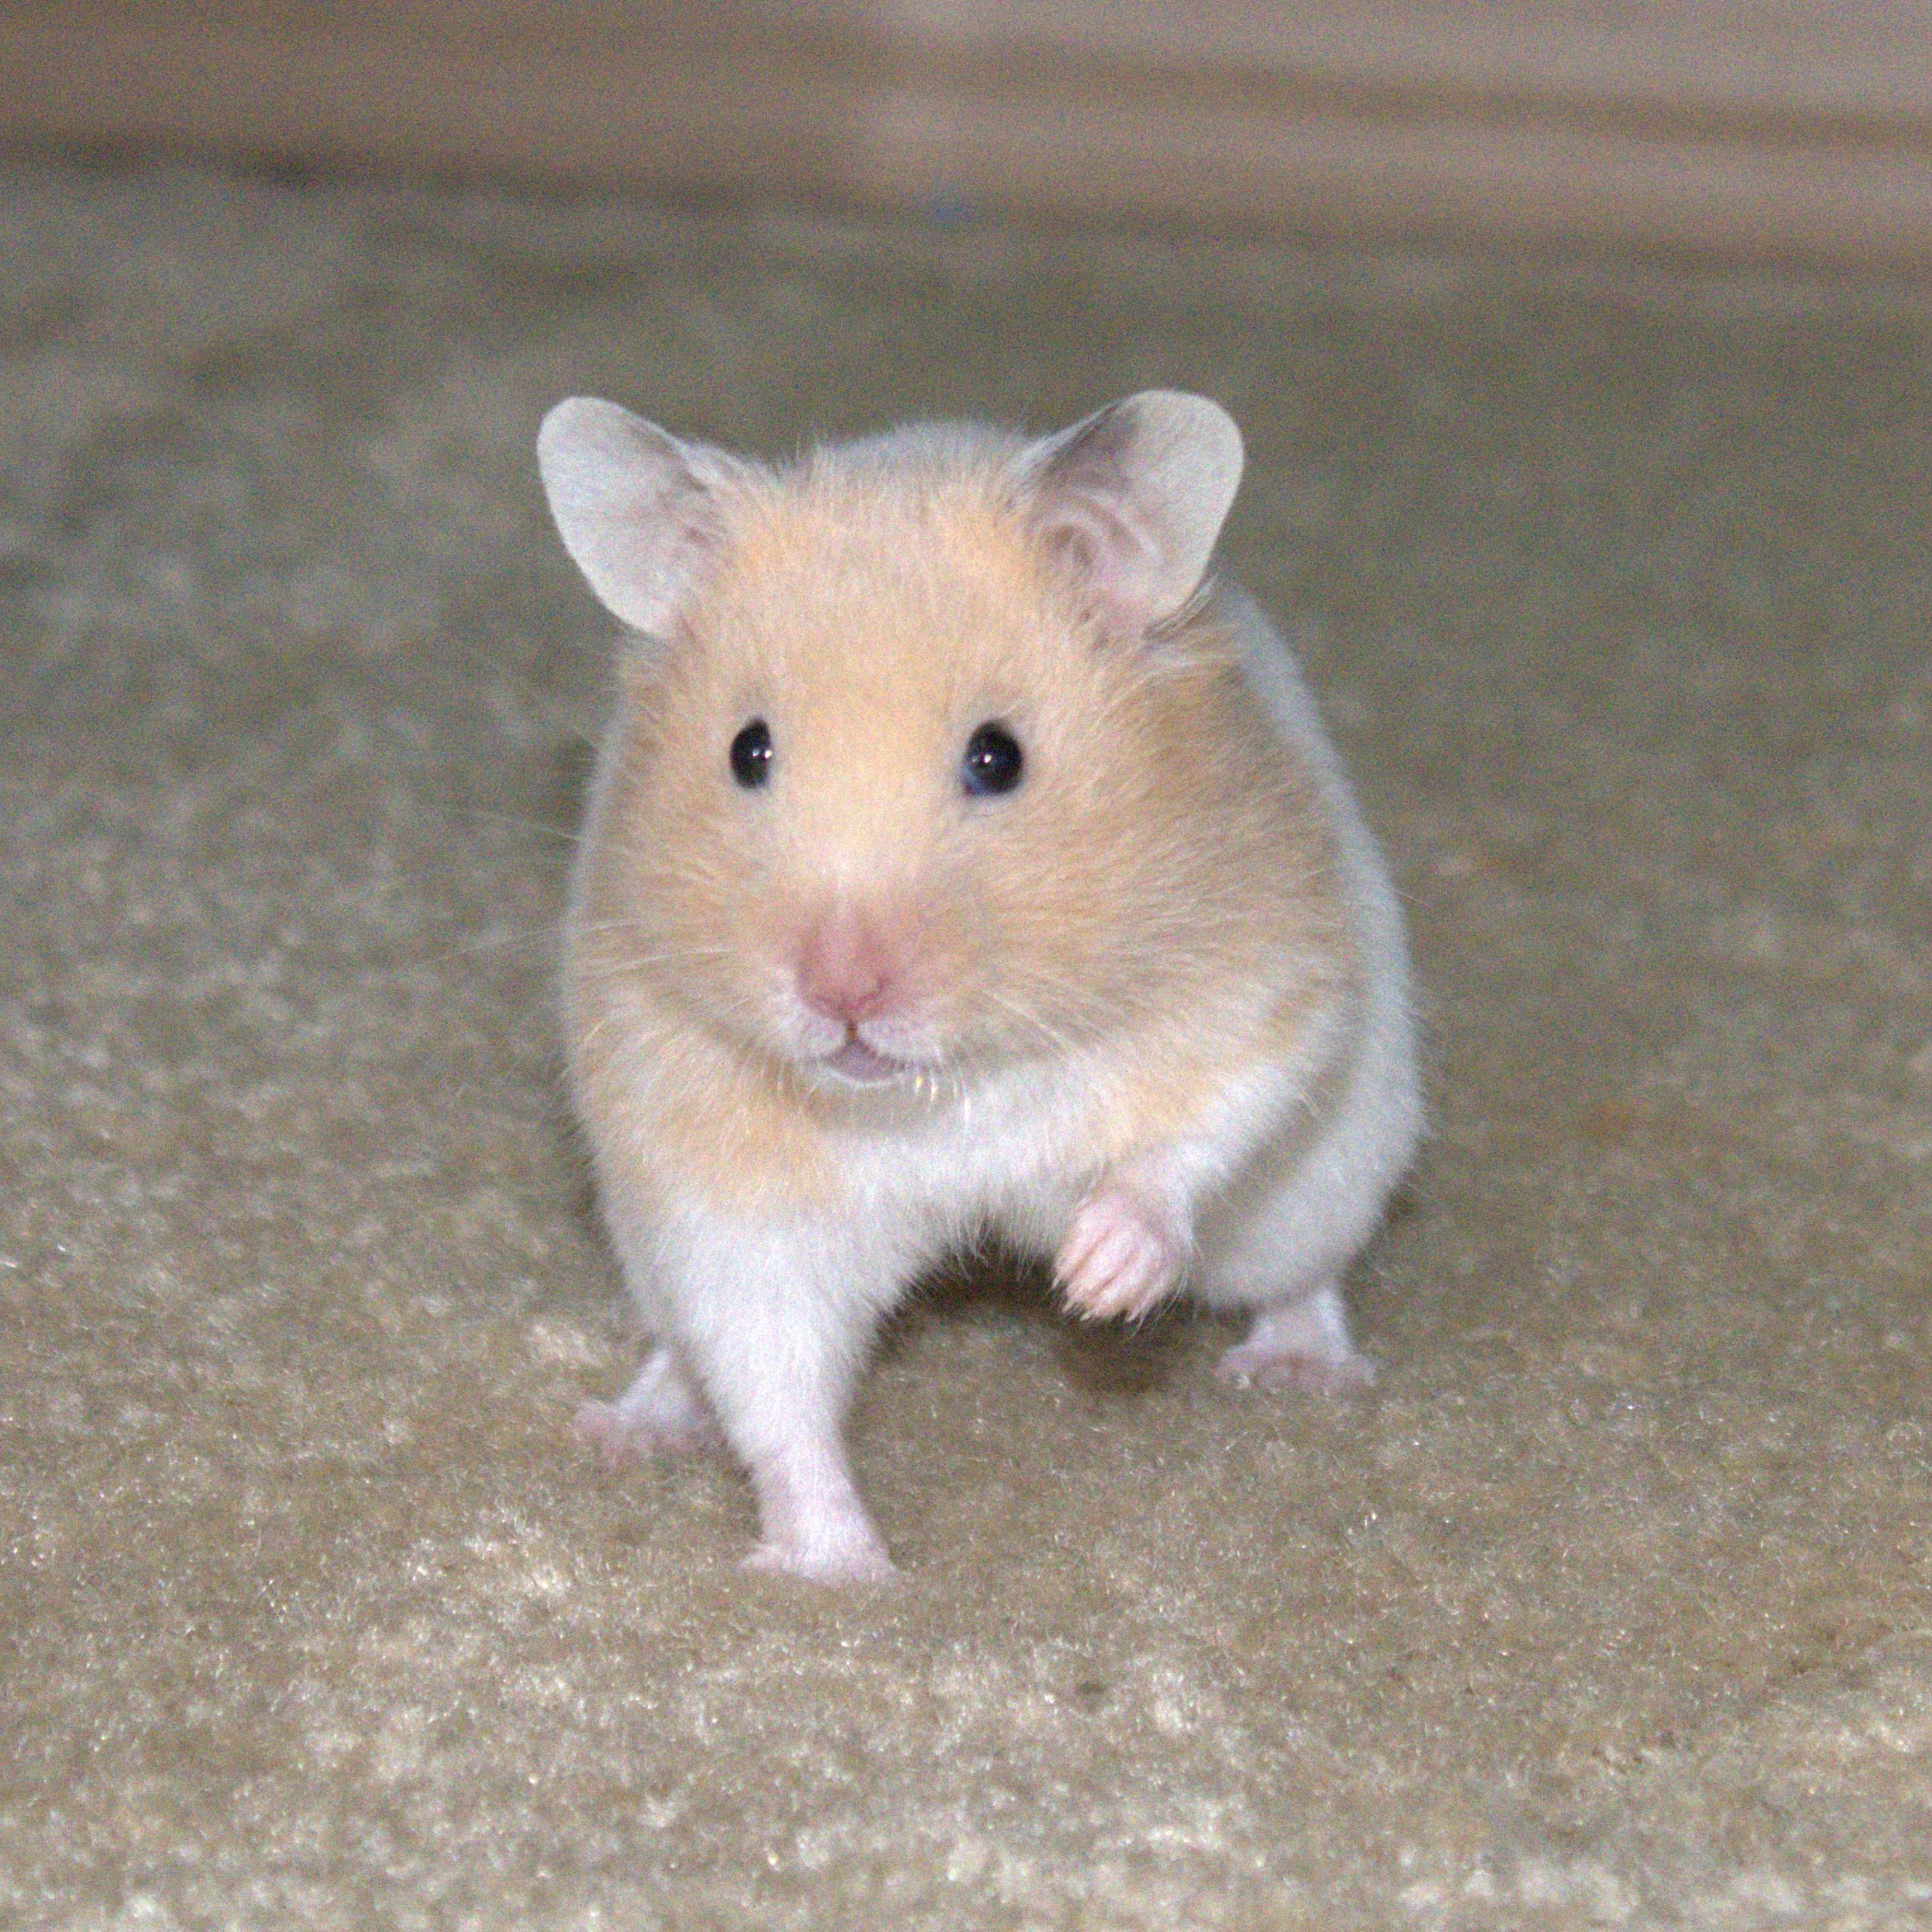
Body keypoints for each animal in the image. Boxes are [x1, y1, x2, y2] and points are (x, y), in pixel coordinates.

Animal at [536, 389, 1421, 1582]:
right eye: (747, 751)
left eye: (999, 758)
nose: (843, 993)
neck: (944, 1083)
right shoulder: (726, 1197)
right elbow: (775, 1392)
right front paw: (843, 1572)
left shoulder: (1270, 984)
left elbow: (1199, 1131)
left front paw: (1096, 1280)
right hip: (643, 1244)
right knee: (688, 1352)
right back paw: (623, 1430)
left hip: (1320, 1181)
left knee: (1298, 1275)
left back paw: (1293, 1372)